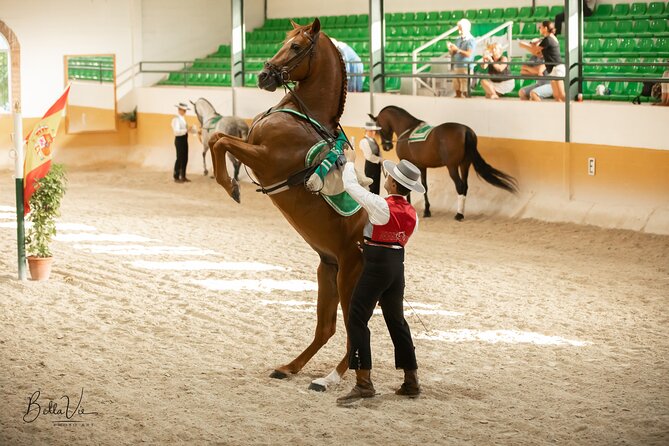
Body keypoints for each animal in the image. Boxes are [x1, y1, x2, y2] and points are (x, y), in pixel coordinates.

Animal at [208, 18, 365, 392]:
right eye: (282, 41)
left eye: (296, 47)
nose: (264, 75)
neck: (301, 117)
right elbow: (216, 138)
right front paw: (229, 184)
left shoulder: (266, 158)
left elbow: (220, 141)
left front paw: (230, 185)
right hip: (328, 270)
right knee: (327, 328)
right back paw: (290, 367)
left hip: (349, 276)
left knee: (353, 332)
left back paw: (328, 379)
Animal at [368, 106, 518, 220]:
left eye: (379, 128)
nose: (386, 147)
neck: (407, 129)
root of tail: (466, 130)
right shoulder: (422, 166)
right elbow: (425, 186)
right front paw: (427, 211)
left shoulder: (408, 163)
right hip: (465, 164)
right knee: (465, 186)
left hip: (452, 167)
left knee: (460, 186)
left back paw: (459, 214)